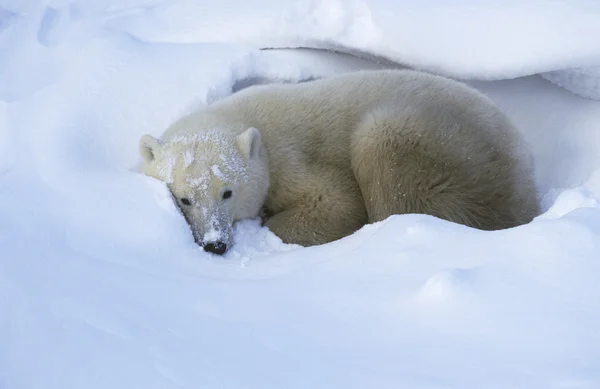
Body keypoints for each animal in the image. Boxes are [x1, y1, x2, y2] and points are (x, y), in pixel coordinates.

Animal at [139, 68, 540, 253]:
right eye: (184, 198)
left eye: (228, 192)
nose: (215, 244)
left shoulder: (291, 158)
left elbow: (337, 201)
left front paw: (270, 221)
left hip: (454, 151)